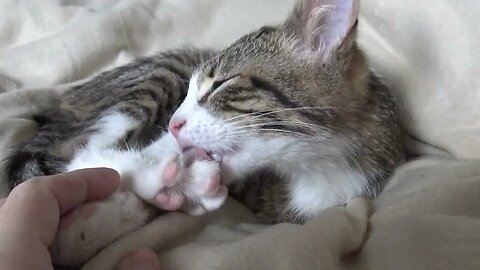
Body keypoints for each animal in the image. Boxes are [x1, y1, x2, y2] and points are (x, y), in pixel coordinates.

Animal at [5, 0, 404, 266]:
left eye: (220, 85)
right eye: (188, 91)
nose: (173, 122)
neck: (318, 168)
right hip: (154, 80)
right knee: (81, 150)